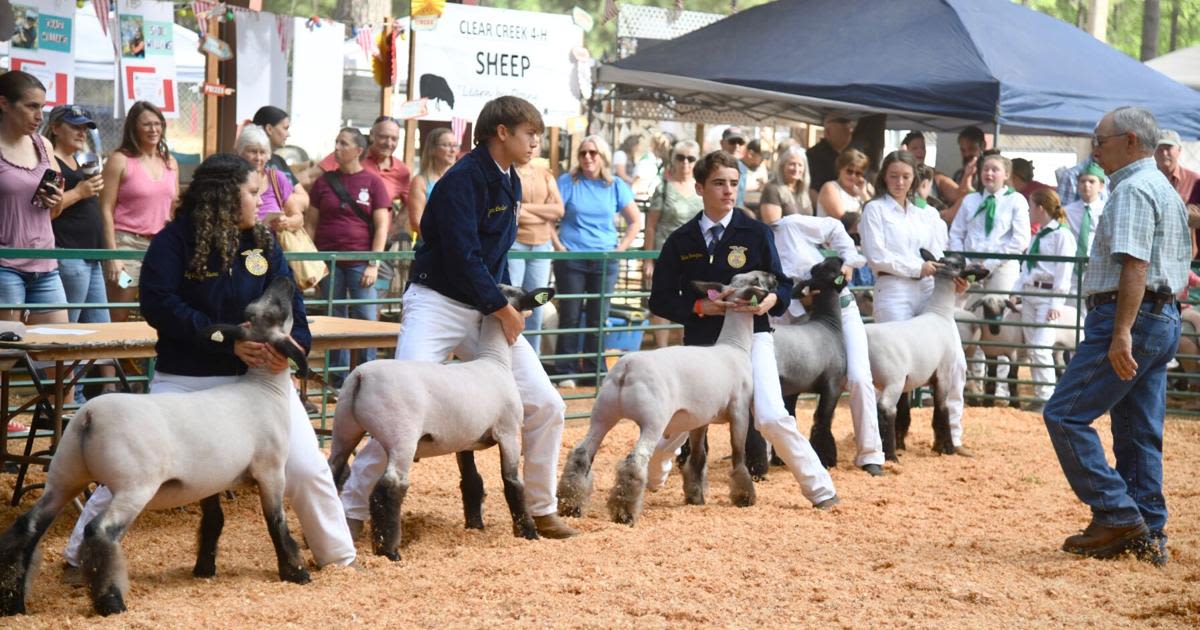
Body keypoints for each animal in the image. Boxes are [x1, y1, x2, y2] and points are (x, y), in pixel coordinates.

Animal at [0, 277, 314, 614]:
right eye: (278, 310)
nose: (284, 280)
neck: (263, 388)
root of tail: (88, 417)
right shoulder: (271, 470)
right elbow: (277, 522)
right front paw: (296, 572)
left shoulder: (211, 479)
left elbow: (214, 520)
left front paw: (204, 568)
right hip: (134, 485)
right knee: (98, 531)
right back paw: (110, 601)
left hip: (65, 476)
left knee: (28, 526)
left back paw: (13, 600)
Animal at [326, 284, 554, 559]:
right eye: (519, 292)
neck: (495, 361)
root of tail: (361, 376)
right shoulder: (508, 432)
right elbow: (513, 483)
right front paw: (528, 532)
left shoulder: (465, 438)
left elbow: (472, 481)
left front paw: (475, 525)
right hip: (401, 435)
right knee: (389, 488)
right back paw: (389, 551)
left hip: (345, 428)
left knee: (333, 471)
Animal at [556, 268, 772, 520]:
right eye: (757, 279)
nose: (775, 278)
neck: (734, 346)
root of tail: (626, 368)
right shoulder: (739, 412)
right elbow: (738, 456)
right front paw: (744, 498)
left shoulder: (700, 419)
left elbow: (698, 457)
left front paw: (695, 497)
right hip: (653, 420)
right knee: (635, 460)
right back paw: (624, 513)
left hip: (602, 415)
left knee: (581, 454)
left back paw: (570, 506)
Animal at [868, 248, 988, 458]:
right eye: (960, 264)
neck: (939, 313)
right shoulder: (943, 373)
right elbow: (942, 409)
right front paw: (945, 447)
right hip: (893, 379)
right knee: (885, 409)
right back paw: (890, 455)